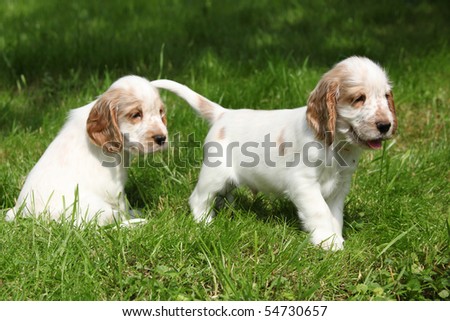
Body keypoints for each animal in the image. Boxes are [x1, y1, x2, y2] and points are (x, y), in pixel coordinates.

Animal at [6, 75, 168, 225]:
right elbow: (122, 208)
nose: (162, 138)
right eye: (136, 114)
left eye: (160, 112)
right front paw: (132, 217)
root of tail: (20, 213)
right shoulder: (114, 188)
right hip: (97, 210)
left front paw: (133, 212)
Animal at [151, 56, 398, 249]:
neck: (335, 145)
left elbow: (335, 214)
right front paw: (327, 242)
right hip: (215, 174)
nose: (386, 125)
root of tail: (224, 114)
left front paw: (336, 237)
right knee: (198, 198)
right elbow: (320, 212)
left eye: (386, 96)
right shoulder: (304, 183)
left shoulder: (340, 185)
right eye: (358, 99)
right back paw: (205, 223)